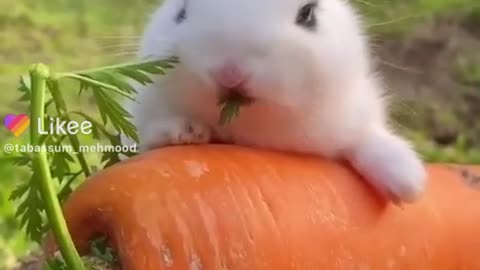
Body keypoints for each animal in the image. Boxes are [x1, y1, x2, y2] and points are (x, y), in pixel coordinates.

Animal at [124, 0, 428, 202]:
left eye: (308, 14)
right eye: (182, 11)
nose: (230, 73)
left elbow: (367, 139)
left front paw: (407, 184)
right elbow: (147, 139)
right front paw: (185, 131)